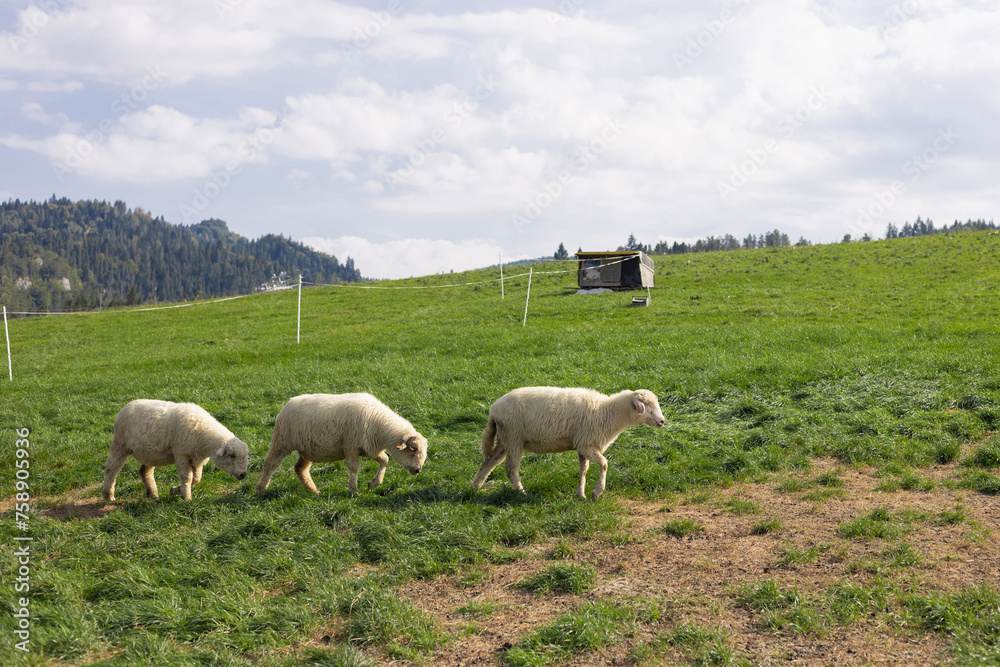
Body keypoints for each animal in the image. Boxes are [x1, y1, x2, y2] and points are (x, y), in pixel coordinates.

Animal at [102, 399, 249, 502]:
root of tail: (126, 406)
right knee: (112, 468)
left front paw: (176, 490)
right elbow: (188, 477)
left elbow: (197, 479)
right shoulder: (182, 455)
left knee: (144, 471)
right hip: (120, 444)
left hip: (150, 454)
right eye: (232, 455)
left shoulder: (196, 459)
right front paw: (187, 498)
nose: (243, 474)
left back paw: (153, 494)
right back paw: (108, 495)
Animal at [255, 393, 428, 496]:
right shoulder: (351, 447)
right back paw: (260, 489)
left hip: (308, 449)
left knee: (300, 469)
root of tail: (289, 402)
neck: (380, 425)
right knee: (270, 464)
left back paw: (313, 490)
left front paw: (374, 483)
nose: (418, 470)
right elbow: (354, 468)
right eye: (412, 450)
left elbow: (384, 459)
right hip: (281, 441)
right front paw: (353, 490)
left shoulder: (368, 448)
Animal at [471, 387, 665, 499]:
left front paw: (581, 494)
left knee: (489, 463)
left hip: (505, 439)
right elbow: (604, 464)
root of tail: (493, 409)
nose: (662, 421)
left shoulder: (583, 445)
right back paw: (521, 493)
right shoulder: (587, 444)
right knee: (511, 469)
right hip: (513, 437)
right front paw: (597, 492)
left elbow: (583, 470)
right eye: (646, 404)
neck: (606, 411)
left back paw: (474, 488)